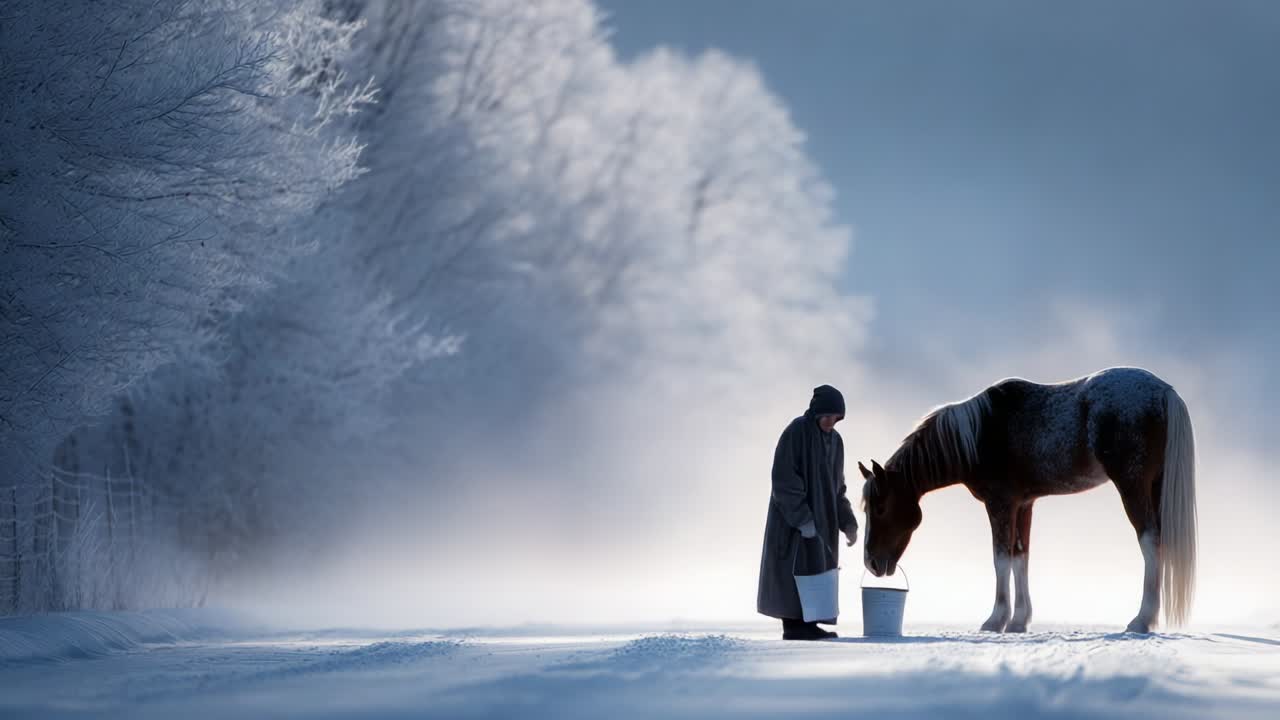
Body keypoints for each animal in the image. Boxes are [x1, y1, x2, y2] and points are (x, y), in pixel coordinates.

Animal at [858, 366, 1196, 634]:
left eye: (880, 507)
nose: (872, 562)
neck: (979, 433)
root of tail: (1164, 391)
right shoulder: (1023, 504)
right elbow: (1021, 557)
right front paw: (1019, 620)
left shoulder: (1000, 504)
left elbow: (1000, 558)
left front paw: (996, 620)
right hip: (1155, 486)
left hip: (1132, 485)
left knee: (1150, 542)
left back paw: (1141, 620)